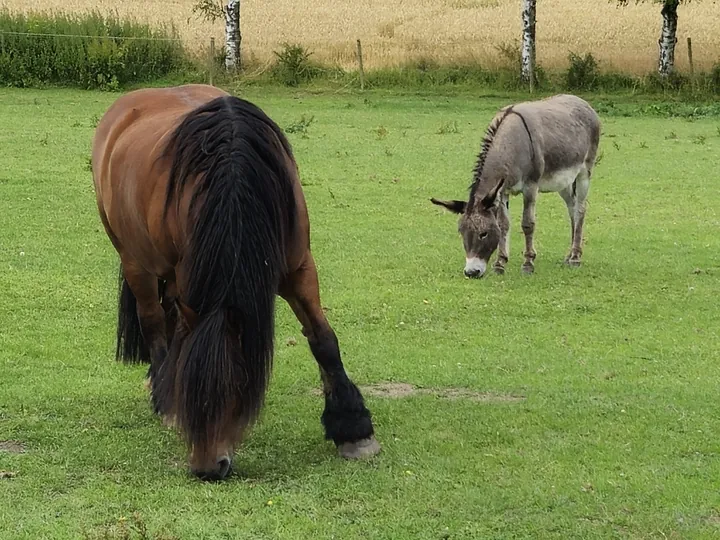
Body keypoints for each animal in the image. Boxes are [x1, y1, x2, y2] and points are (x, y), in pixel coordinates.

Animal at [93, 84, 380, 480]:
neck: (236, 176)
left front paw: (354, 430)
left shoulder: (298, 267)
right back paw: (162, 398)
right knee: (153, 322)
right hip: (134, 260)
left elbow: (323, 339)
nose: (208, 469)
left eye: (238, 386)